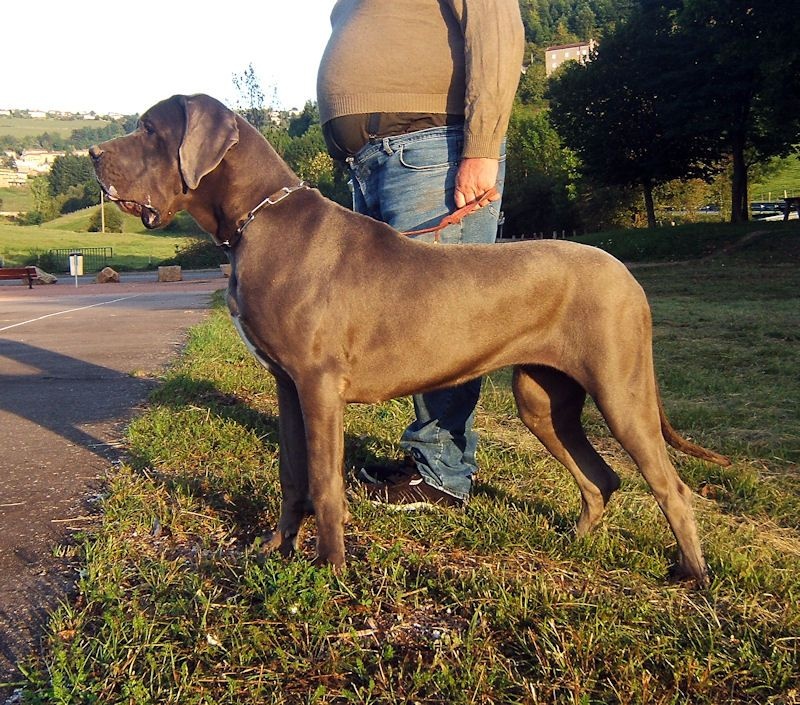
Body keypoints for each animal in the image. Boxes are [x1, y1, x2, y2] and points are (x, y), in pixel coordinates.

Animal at [90, 95, 728, 588]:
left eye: (150, 129)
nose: (94, 156)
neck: (257, 219)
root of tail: (628, 276)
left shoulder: (318, 385)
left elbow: (324, 480)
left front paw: (330, 569)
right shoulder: (286, 384)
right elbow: (293, 474)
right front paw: (276, 548)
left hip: (621, 391)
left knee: (671, 485)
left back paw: (691, 576)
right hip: (542, 399)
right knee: (600, 477)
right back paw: (575, 543)